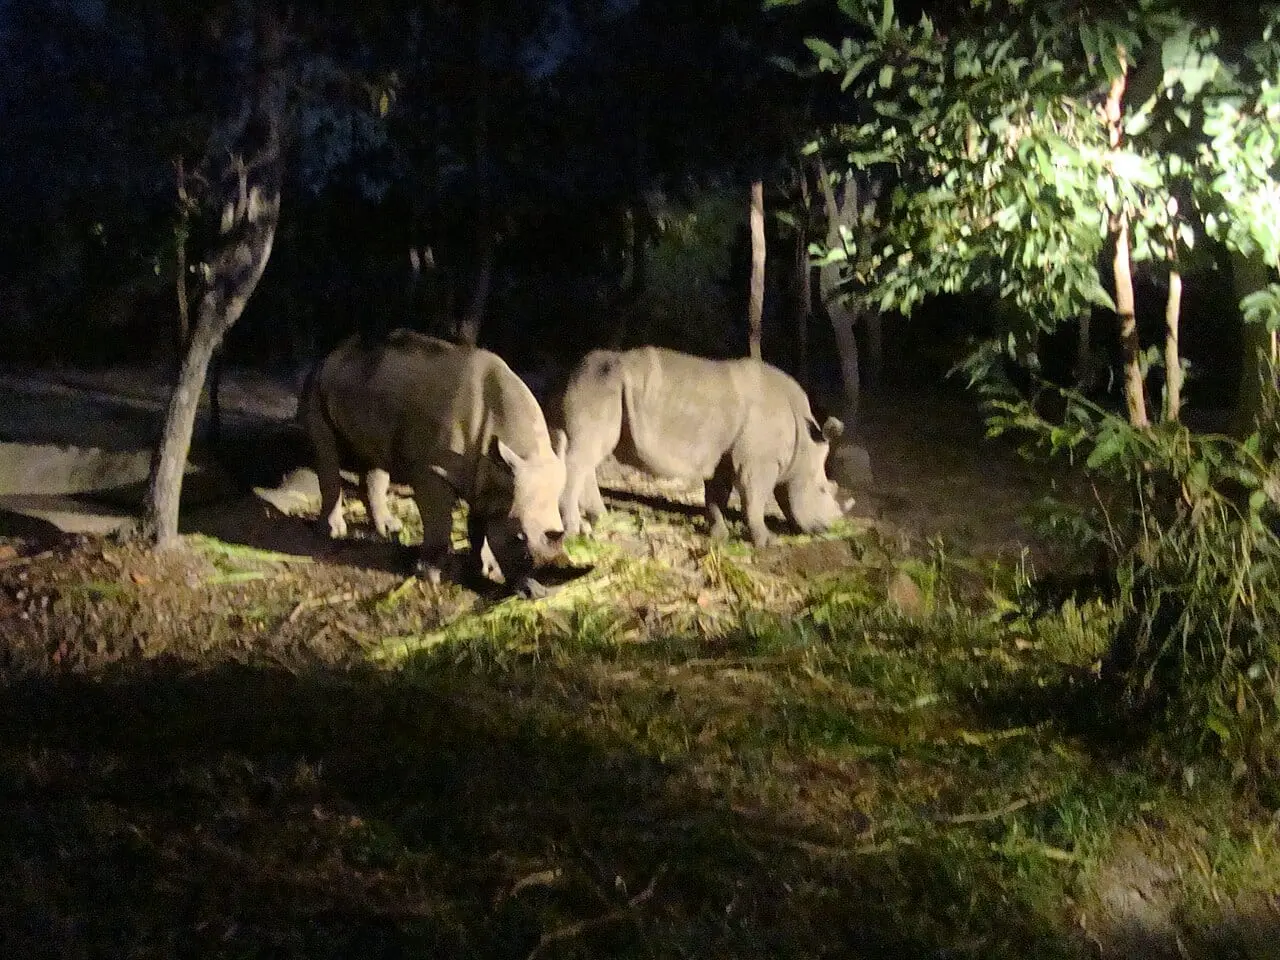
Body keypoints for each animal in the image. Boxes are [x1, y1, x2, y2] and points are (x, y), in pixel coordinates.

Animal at [302, 329, 567, 596]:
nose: (541, 594)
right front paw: (430, 576)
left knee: (374, 455)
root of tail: (334, 352)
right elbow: (439, 522)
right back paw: (332, 533)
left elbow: (480, 523)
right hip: (317, 384)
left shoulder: (490, 478)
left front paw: (486, 569)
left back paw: (390, 528)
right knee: (327, 452)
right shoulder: (433, 471)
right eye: (519, 537)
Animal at [557, 346, 850, 547]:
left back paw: (602, 519)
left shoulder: (724, 456)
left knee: (589, 454)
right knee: (584, 456)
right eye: (822, 490)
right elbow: (754, 498)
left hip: (602, 385)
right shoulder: (758, 462)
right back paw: (574, 532)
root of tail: (570, 372)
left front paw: (719, 535)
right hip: (601, 386)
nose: (828, 528)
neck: (804, 445)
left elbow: (716, 495)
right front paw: (766, 542)